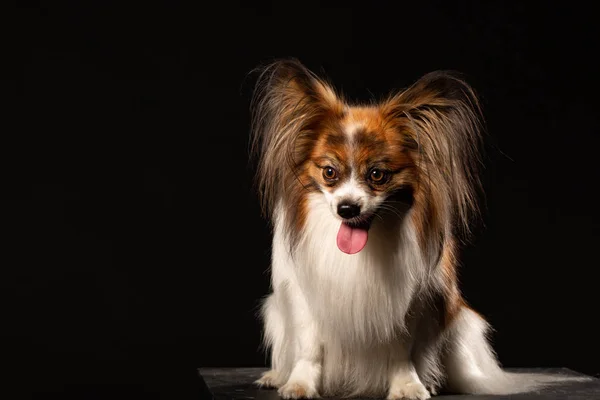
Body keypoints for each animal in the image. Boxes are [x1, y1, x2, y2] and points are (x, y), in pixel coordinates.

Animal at [247, 57, 580, 398]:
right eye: (329, 172)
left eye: (378, 175)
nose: (347, 208)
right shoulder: (304, 296)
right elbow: (309, 347)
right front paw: (299, 384)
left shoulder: (412, 299)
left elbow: (399, 348)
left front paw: (407, 385)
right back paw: (276, 375)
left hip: (459, 323)